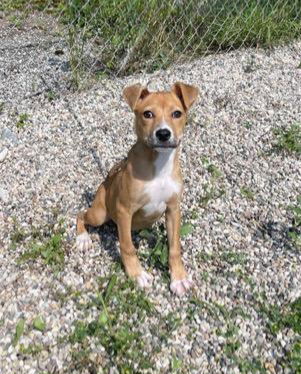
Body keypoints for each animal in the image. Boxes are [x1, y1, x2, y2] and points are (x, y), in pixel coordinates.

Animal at [75, 83, 198, 296]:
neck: (159, 167)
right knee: (80, 214)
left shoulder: (173, 209)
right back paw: (82, 238)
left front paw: (179, 278)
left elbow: (174, 247)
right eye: (147, 114)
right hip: (99, 213)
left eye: (177, 113)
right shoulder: (124, 210)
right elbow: (127, 247)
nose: (163, 134)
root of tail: (106, 180)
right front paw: (137, 274)